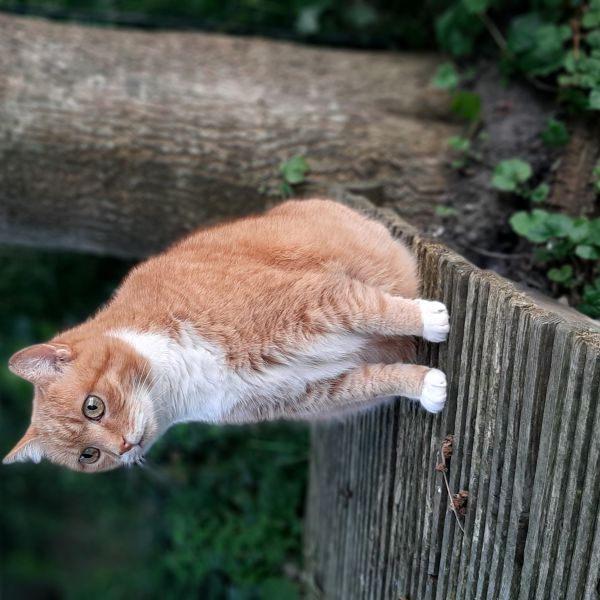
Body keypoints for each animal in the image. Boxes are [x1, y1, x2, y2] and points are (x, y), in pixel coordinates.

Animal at [3, 202, 446, 474]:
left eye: (92, 406)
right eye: (89, 455)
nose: (125, 448)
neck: (179, 376)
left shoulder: (315, 300)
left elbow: (372, 308)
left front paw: (429, 318)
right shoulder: (317, 391)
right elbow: (379, 378)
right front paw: (425, 385)